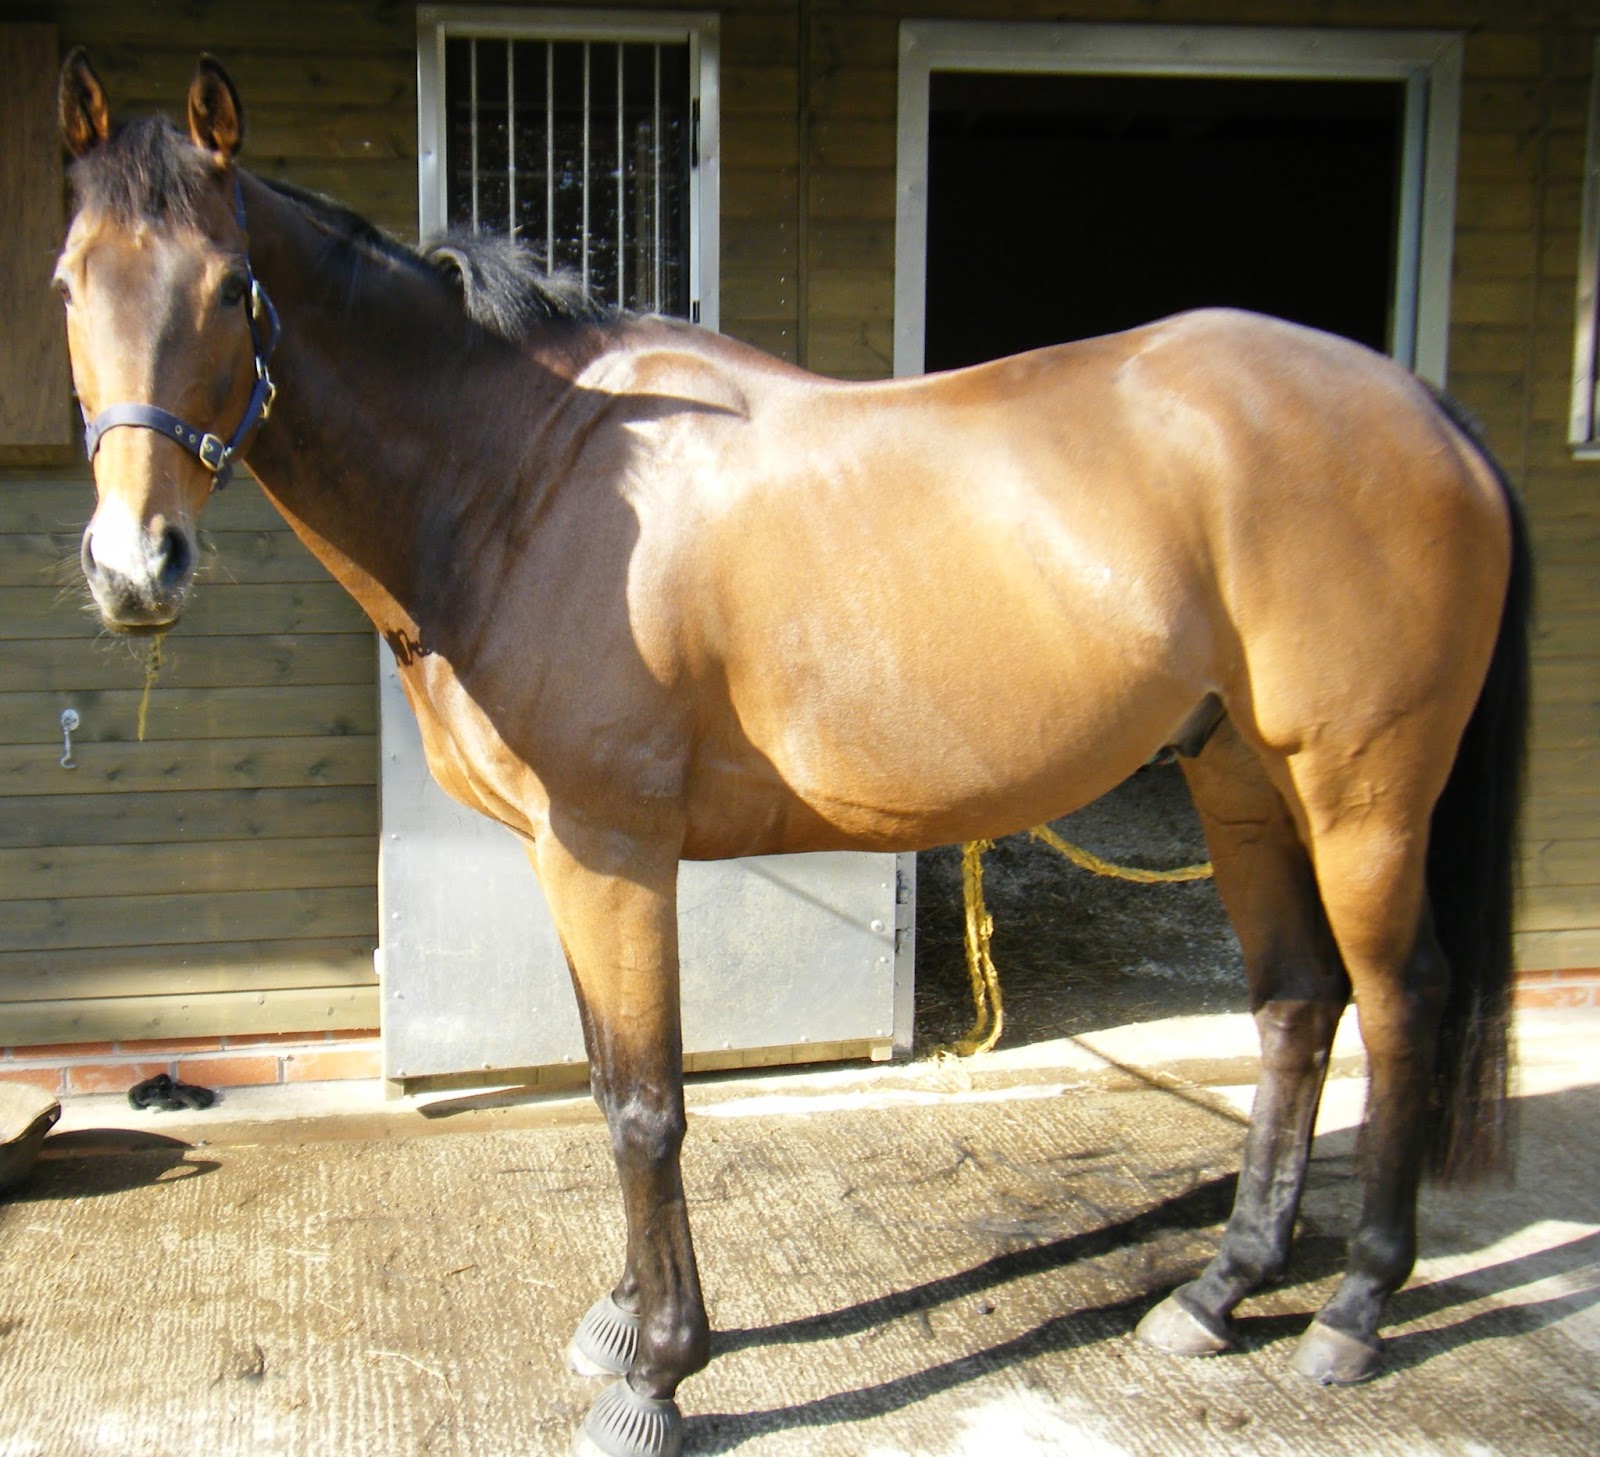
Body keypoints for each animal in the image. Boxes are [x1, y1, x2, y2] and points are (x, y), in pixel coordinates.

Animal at [54, 51, 1530, 1457]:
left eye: (232, 285)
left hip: (1361, 797)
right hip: (1241, 783)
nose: (136, 568)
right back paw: (1221, 1289)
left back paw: (1352, 1309)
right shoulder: (567, 858)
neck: (528, 477)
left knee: (1400, 1000)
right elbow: (605, 1074)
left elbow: (645, 1104)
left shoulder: (612, 848)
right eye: (67, 284)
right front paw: (621, 1317)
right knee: (1295, 1003)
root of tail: (1425, 408)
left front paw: (657, 1373)